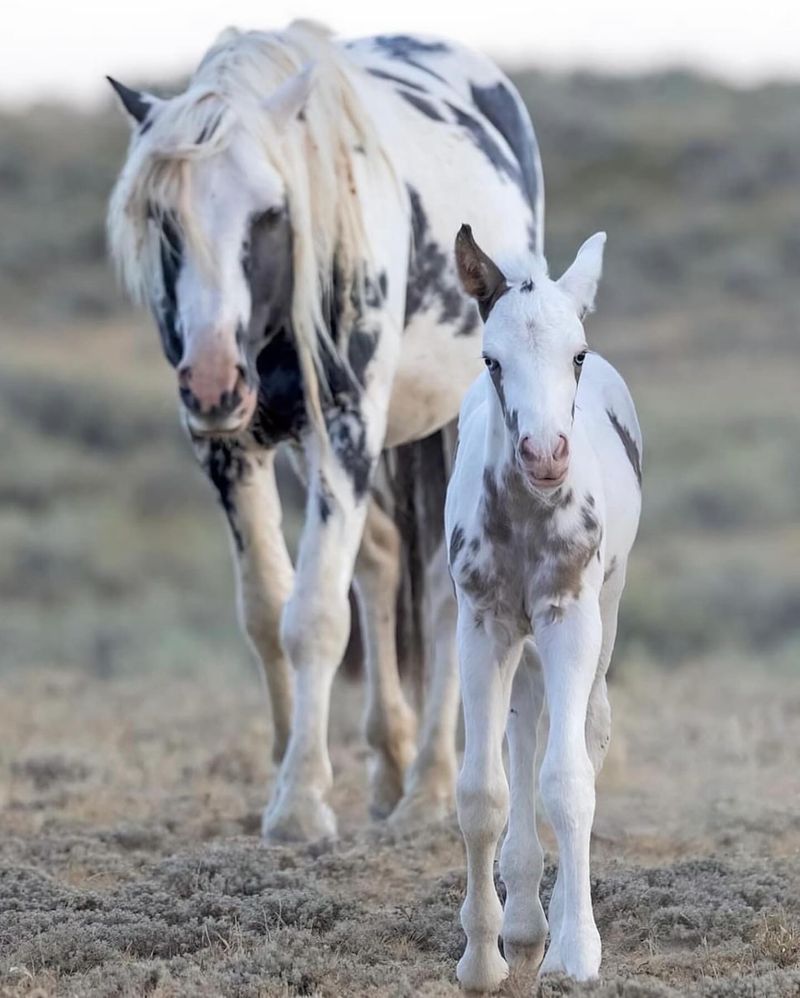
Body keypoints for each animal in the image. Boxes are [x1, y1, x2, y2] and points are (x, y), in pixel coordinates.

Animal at [108, 19, 544, 840]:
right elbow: (265, 607)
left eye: (269, 212)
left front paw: (303, 802)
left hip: (436, 427)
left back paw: (428, 789)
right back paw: (391, 765)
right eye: (166, 218)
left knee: (441, 593)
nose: (211, 378)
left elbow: (312, 615)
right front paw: (284, 768)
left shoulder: (347, 425)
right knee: (379, 562)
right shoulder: (227, 447)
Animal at [444, 223, 644, 988]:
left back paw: (553, 929)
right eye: (491, 359)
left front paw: (579, 952)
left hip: (604, 612)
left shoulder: (570, 618)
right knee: (523, 725)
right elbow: (482, 791)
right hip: (520, 644)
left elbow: (569, 779)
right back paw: (525, 921)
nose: (545, 453)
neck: (529, 518)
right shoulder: (482, 625)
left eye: (575, 355)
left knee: (586, 730)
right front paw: (481, 956)